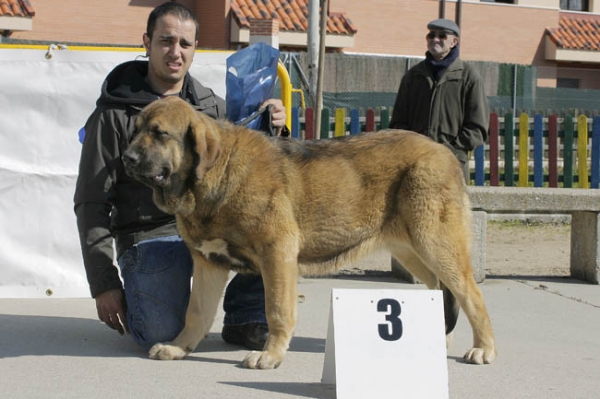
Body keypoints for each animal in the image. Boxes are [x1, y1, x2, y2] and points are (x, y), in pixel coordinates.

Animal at [122, 95, 496, 370]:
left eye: (159, 133)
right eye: (134, 130)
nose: (126, 157)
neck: (217, 174)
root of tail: (444, 151)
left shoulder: (277, 253)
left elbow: (276, 309)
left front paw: (270, 355)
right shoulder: (208, 263)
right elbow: (196, 311)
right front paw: (179, 347)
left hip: (435, 244)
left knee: (470, 294)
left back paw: (483, 349)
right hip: (411, 249)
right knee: (439, 289)